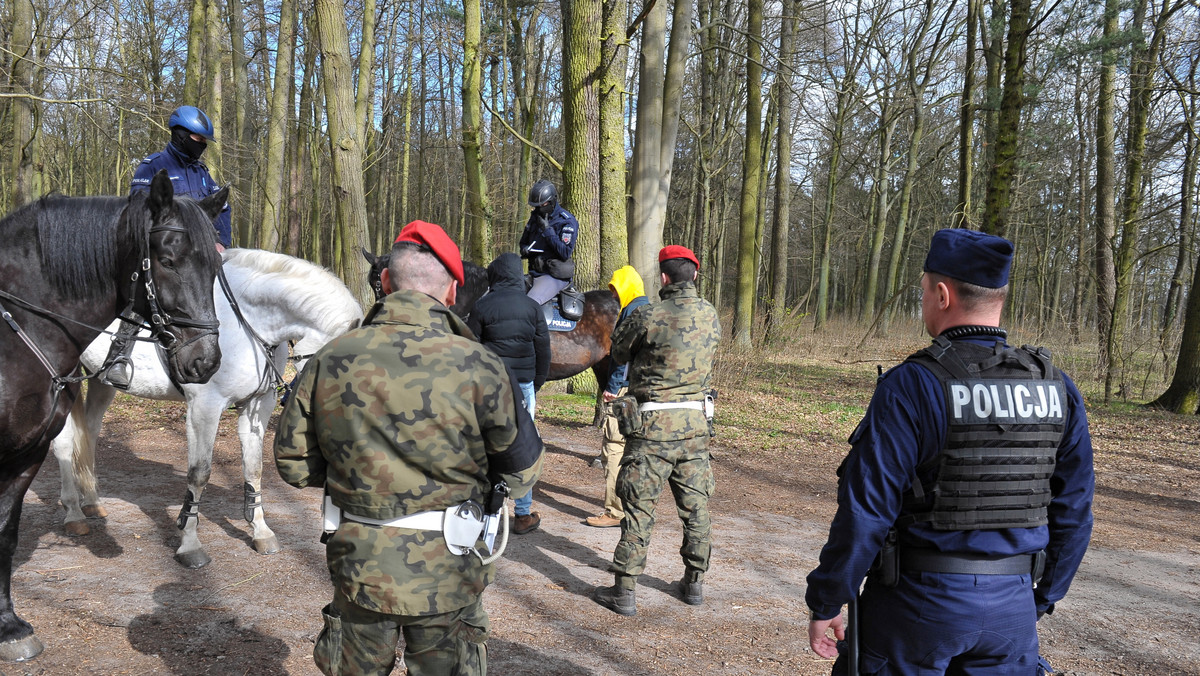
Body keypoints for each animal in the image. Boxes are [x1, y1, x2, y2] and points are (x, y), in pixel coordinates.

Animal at [0, 170, 225, 662]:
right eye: (167, 260)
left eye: (216, 270)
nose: (205, 361)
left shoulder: (25, 455)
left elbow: (5, 532)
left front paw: (9, 627)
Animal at [51, 247, 360, 566]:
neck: (246, 320)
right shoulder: (204, 407)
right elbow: (199, 474)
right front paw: (190, 544)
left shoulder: (257, 404)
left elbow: (254, 468)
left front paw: (261, 531)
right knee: (63, 441)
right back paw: (74, 513)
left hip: (100, 381)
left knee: (89, 431)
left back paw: (91, 501)